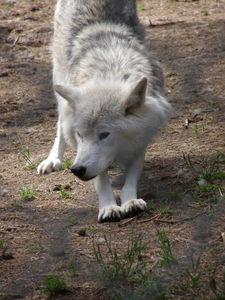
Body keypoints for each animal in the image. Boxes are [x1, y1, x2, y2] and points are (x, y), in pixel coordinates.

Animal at [37, 0, 172, 221]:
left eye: (105, 134)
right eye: (80, 135)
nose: (77, 170)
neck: (111, 69)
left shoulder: (141, 137)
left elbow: (130, 180)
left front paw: (130, 201)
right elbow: (101, 179)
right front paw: (109, 206)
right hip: (59, 77)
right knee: (60, 124)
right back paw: (53, 159)